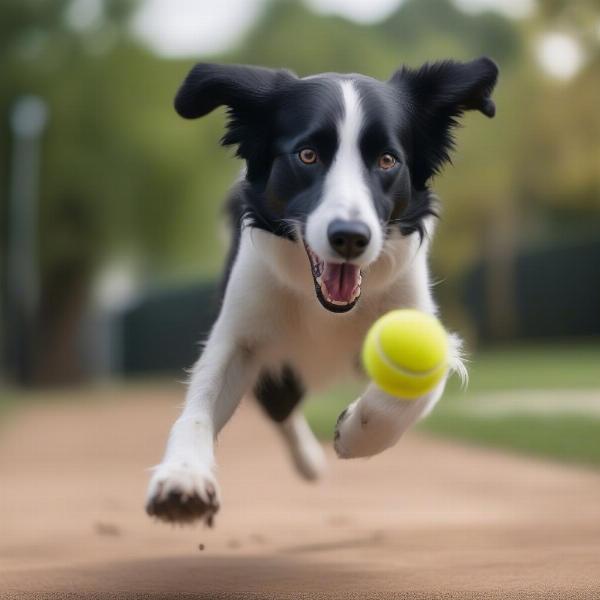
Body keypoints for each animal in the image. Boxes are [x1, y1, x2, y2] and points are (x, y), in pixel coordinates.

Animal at [144, 57, 496, 524]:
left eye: (387, 160)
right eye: (307, 155)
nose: (350, 237)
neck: (327, 309)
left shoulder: (418, 321)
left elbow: (405, 391)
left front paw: (354, 434)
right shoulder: (240, 336)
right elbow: (198, 409)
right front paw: (183, 478)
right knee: (282, 409)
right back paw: (308, 462)